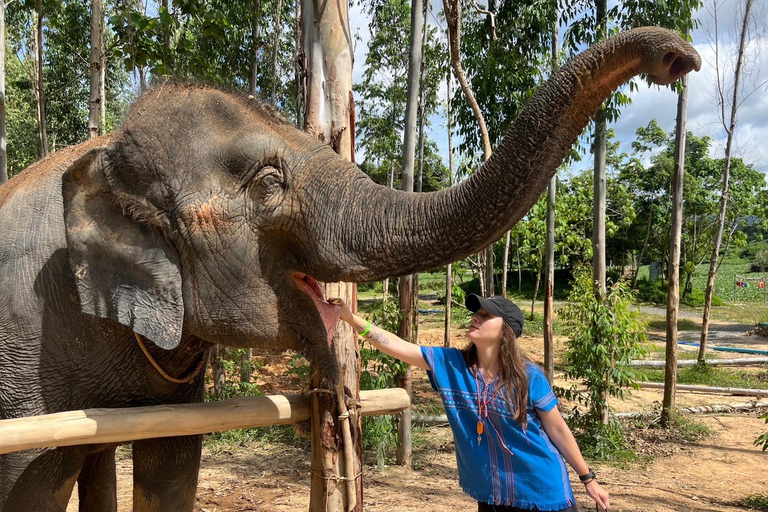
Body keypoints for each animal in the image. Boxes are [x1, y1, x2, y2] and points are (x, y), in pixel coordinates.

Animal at [0, 27, 700, 512]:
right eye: (269, 182)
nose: (680, 58)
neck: (101, 152)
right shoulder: (26, 357)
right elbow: (29, 482)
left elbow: (171, 469)